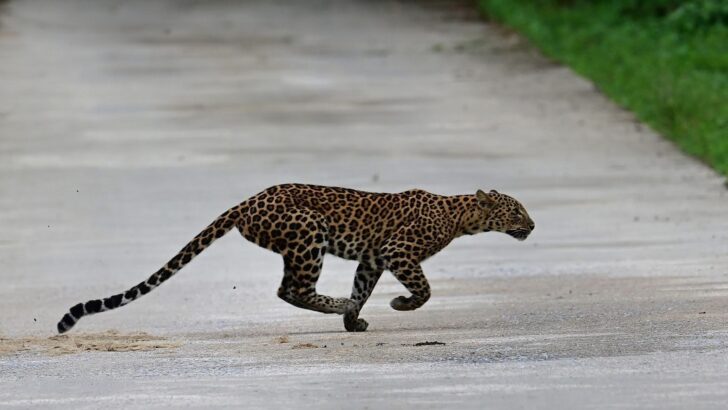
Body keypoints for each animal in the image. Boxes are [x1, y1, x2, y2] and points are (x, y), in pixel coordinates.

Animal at [58, 184, 534, 333]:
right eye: (516, 212)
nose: (532, 226)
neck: (460, 216)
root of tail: (246, 202)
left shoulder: (373, 259)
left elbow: (364, 285)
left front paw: (354, 321)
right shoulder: (398, 252)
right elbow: (424, 289)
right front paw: (399, 304)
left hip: (298, 244)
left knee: (290, 289)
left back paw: (343, 308)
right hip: (308, 235)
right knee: (293, 289)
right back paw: (337, 303)